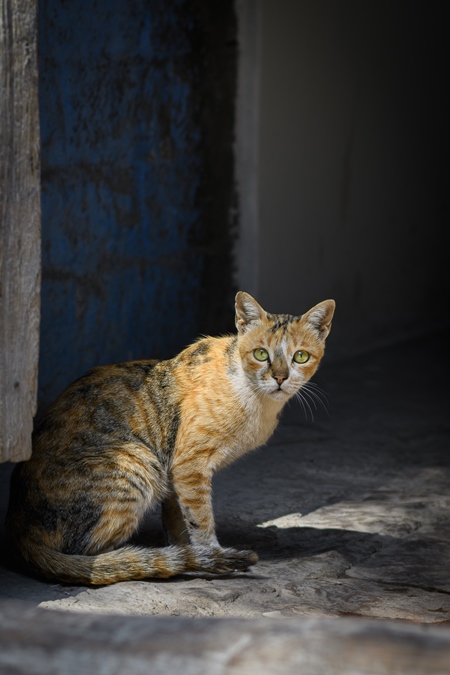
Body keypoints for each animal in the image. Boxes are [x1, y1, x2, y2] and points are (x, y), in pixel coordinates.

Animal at [5, 292, 332, 588]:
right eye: (261, 354)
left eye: (300, 356)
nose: (280, 378)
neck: (254, 397)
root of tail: (18, 528)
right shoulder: (190, 465)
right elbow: (201, 520)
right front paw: (209, 556)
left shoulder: (176, 470)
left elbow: (178, 518)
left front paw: (187, 551)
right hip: (138, 464)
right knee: (92, 558)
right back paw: (139, 558)